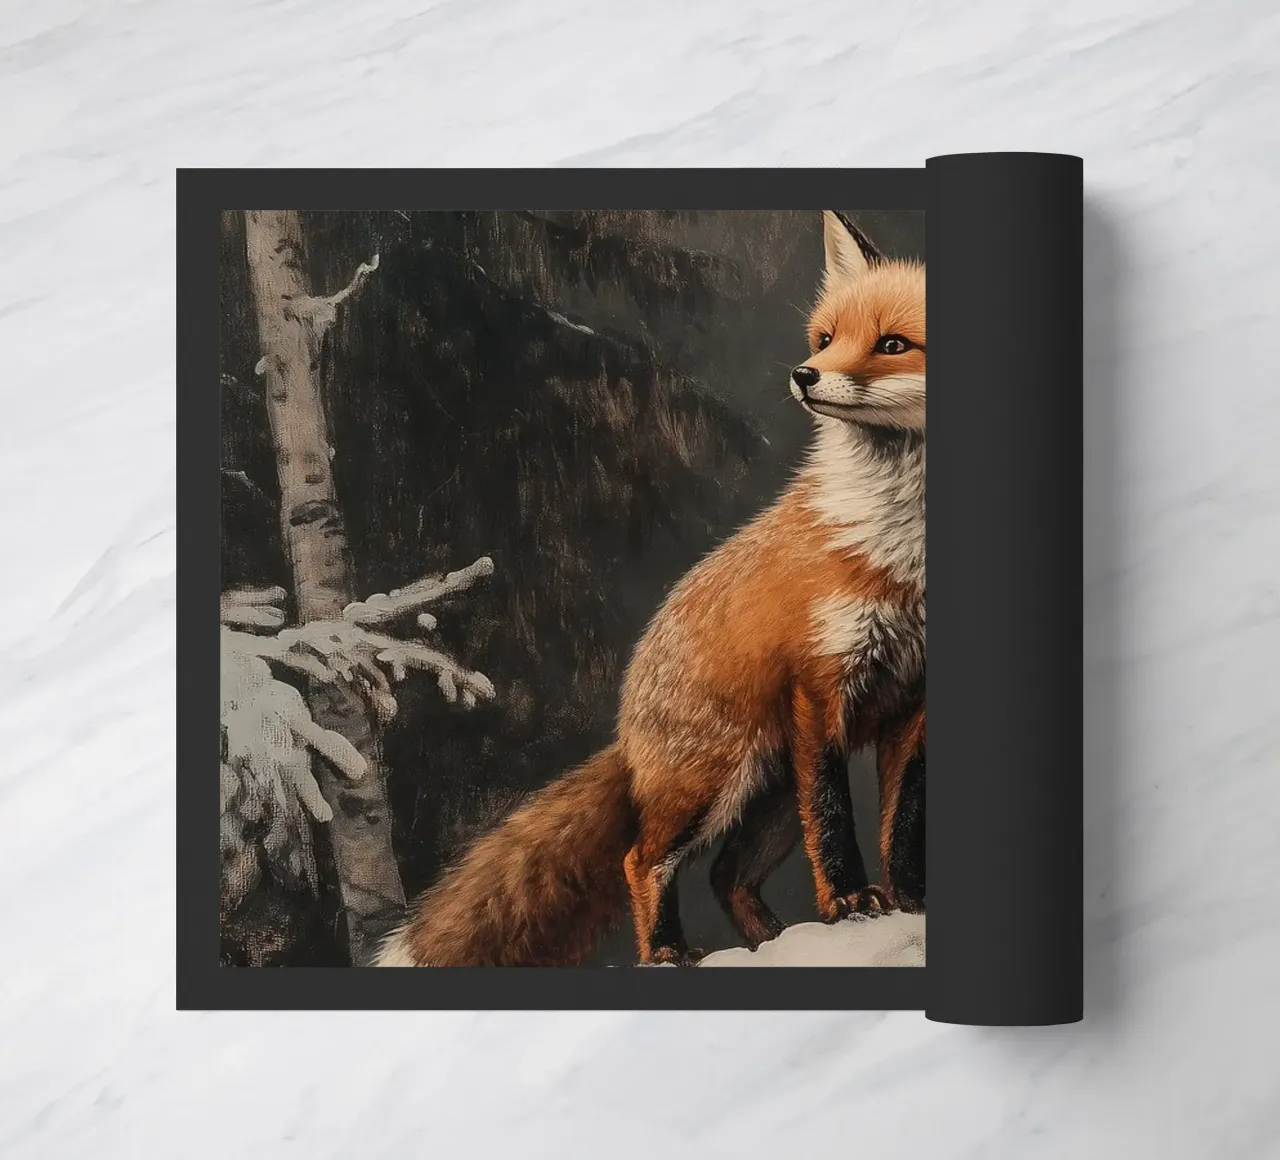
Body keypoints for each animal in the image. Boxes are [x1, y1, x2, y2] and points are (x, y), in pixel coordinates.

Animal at [375, 210, 926, 967]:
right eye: (825, 339)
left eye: (893, 345)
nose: (803, 375)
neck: (898, 552)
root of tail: (627, 718)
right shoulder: (822, 689)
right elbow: (838, 825)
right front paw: (847, 901)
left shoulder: (914, 702)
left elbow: (901, 825)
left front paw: (907, 904)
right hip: (717, 781)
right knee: (643, 859)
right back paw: (668, 952)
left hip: (769, 796)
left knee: (726, 876)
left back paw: (772, 945)